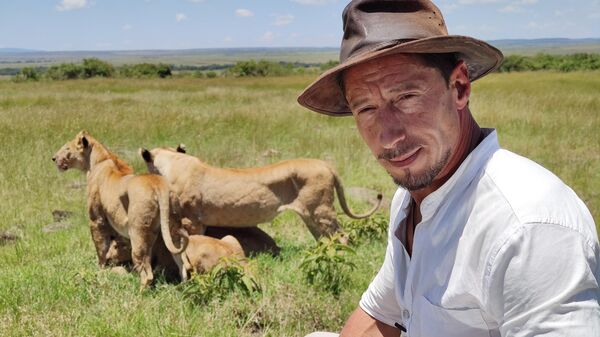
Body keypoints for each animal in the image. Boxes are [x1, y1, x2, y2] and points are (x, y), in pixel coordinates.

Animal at [54, 131, 190, 286]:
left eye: (67, 148)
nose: (53, 158)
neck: (100, 159)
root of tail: (158, 184)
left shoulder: (97, 219)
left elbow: (101, 247)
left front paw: (101, 268)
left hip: (138, 231)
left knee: (146, 271)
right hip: (172, 225)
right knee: (182, 262)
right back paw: (184, 285)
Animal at [141, 144, 382, 239]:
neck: (172, 162)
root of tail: (325, 164)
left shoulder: (192, 219)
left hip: (321, 211)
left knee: (342, 236)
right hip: (311, 216)